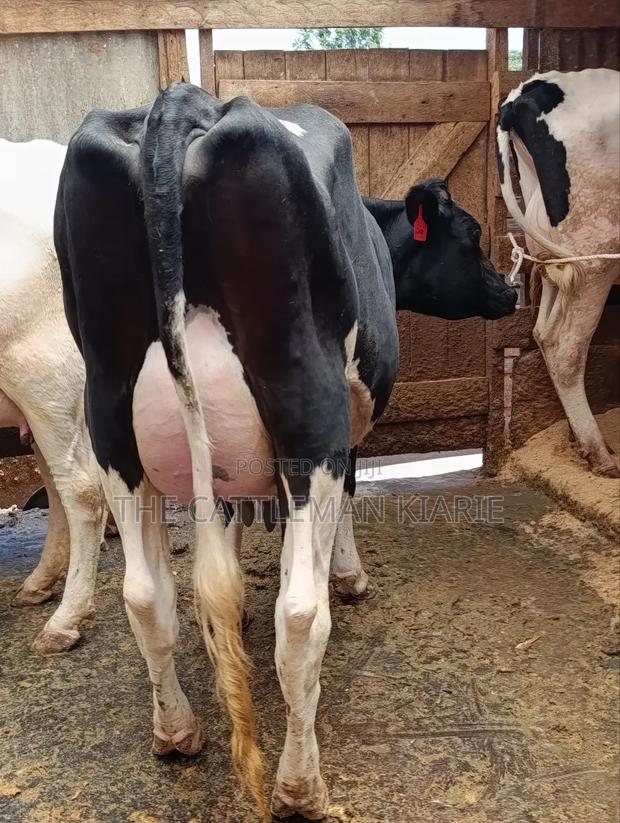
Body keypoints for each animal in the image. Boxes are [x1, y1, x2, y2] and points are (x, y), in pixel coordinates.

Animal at [55, 83, 516, 819]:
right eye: (471, 235)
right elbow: (349, 496)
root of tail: (181, 103)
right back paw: (300, 783)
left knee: (146, 593)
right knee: (299, 617)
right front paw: (347, 573)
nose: (512, 289)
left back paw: (176, 732)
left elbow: (227, 531)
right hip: (308, 406)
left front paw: (234, 606)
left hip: (109, 407)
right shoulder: (347, 419)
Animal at [497, 68, 620, 477]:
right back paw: (598, 454)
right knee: (566, 346)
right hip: (594, 259)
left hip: (554, 260)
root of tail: (528, 88)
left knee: (544, 333)